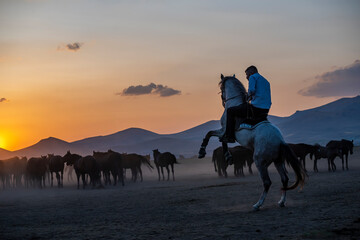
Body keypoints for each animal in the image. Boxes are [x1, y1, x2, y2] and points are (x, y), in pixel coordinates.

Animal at [198, 74, 306, 210]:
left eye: (221, 87)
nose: (223, 101)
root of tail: (280, 141)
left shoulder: (224, 130)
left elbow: (212, 135)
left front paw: (202, 151)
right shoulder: (224, 132)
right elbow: (221, 141)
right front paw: (228, 157)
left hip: (260, 161)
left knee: (267, 182)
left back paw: (257, 204)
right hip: (278, 161)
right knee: (284, 179)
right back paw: (281, 202)